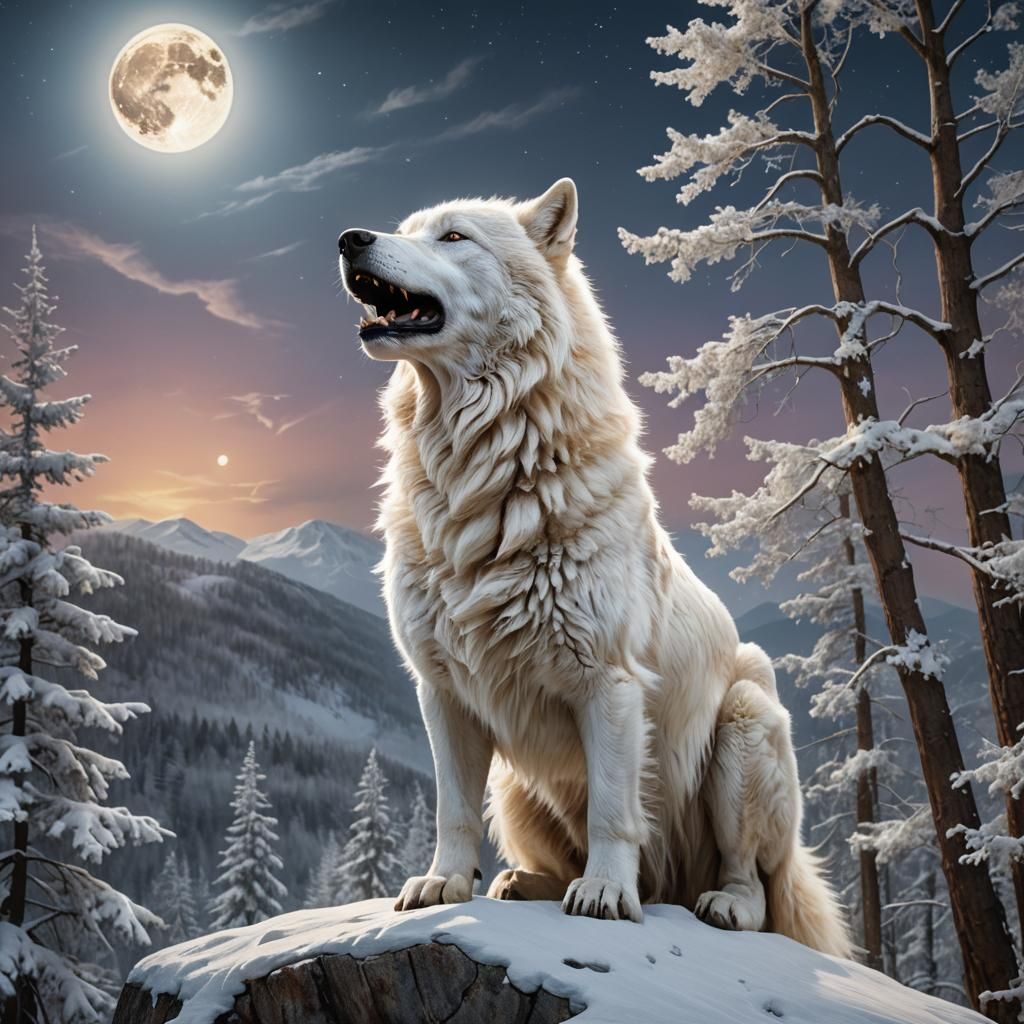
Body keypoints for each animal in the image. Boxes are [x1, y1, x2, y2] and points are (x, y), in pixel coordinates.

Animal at [338, 179, 851, 955]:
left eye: (453, 237)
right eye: (405, 228)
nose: (349, 238)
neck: (484, 473)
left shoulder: (606, 683)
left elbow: (614, 808)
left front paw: (607, 895)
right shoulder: (442, 692)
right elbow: (452, 809)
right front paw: (441, 885)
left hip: (746, 719)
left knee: (754, 882)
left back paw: (717, 904)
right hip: (515, 789)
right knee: (548, 855)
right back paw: (524, 883)